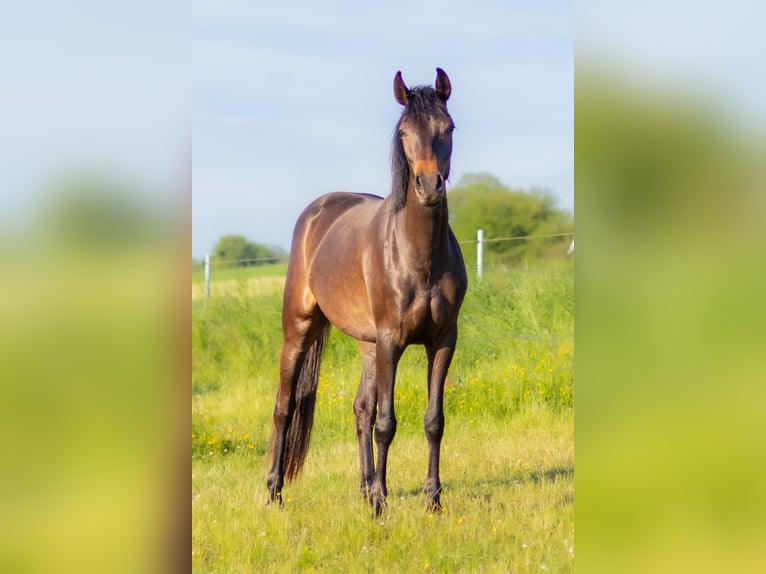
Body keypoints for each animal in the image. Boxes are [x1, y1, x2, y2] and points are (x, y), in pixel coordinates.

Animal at [268, 67, 468, 516]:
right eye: (405, 132)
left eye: (448, 127)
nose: (429, 186)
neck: (418, 255)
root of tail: (318, 210)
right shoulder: (392, 341)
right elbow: (386, 423)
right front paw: (381, 506)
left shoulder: (443, 340)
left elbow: (433, 421)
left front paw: (432, 501)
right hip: (300, 327)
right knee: (285, 407)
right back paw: (274, 492)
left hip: (367, 344)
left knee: (360, 408)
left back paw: (366, 487)